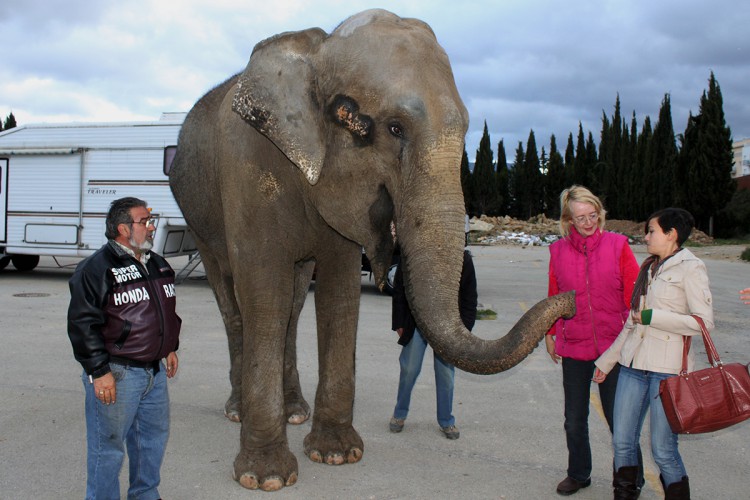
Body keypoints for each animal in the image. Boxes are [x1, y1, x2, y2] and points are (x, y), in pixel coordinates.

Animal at [169, 8, 576, 492]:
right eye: (394, 128)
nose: (571, 301)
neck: (321, 49)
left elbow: (340, 295)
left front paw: (337, 455)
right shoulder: (248, 167)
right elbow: (264, 296)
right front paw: (264, 477)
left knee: (293, 307)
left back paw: (295, 411)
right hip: (198, 214)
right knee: (235, 303)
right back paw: (237, 409)